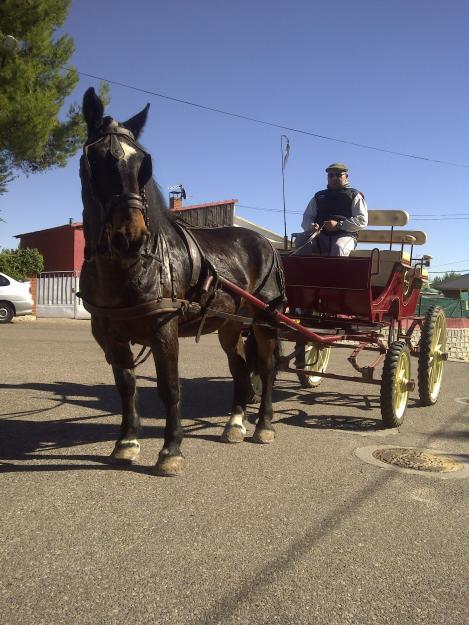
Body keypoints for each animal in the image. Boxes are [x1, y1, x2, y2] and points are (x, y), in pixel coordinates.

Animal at [77, 88, 286, 476]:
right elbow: (126, 386)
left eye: (143, 164)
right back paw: (235, 424)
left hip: (265, 321)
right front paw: (126, 443)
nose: (131, 236)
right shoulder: (110, 334)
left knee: (266, 368)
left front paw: (171, 451)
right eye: (96, 160)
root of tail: (265, 243)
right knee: (239, 367)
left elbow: (169, 388)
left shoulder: (165, 329)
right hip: (229, 326)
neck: (130, 266)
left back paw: (264, 425)